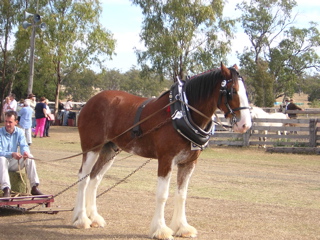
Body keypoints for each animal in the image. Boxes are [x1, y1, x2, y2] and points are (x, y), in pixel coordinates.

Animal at [73, 62, 252, 239]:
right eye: (232, 91)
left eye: (246, 91)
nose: (245, 124)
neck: (182, 113)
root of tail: (89, 102)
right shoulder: (166, 160)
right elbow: (162, 195)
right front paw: (160, 229)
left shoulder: (188, 162)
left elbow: (181, 195)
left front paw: (182, 227)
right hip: (92, 148)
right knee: (83, 177)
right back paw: (81, 219)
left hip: (109, 150)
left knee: (94, 178)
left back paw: (94, 218)